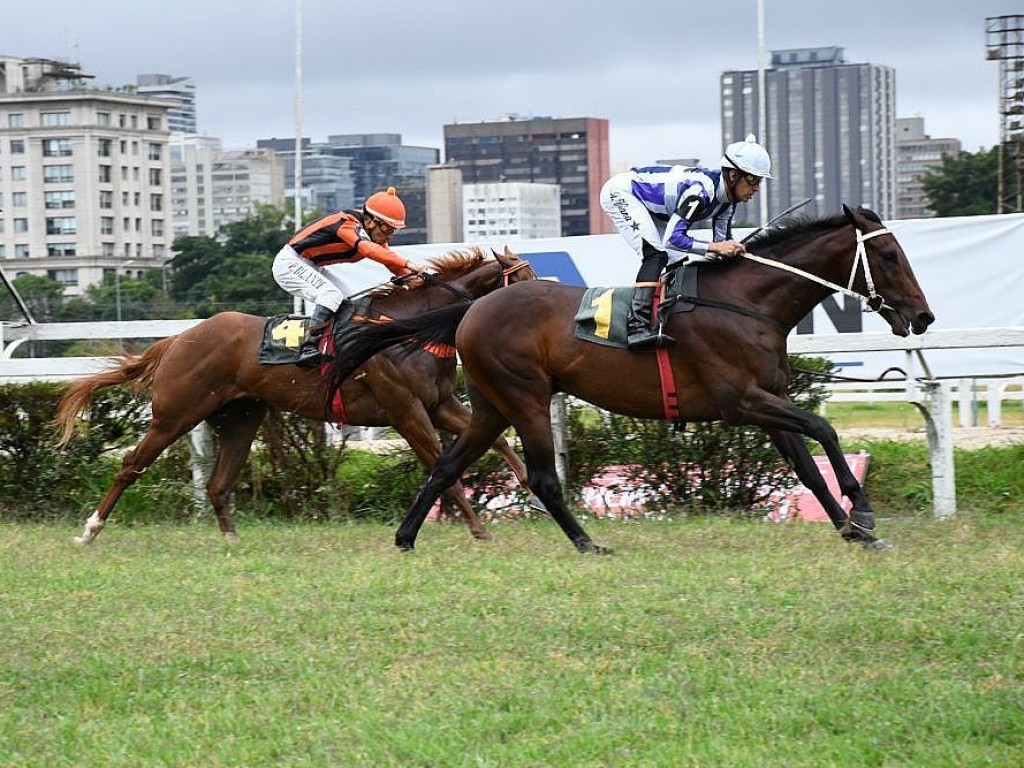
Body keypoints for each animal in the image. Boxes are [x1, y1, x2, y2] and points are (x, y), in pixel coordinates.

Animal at [55, 247, 536, 548]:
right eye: (524, 282)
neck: (407, 331)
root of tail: (177, 339)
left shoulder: (439, 404)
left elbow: (497, 440)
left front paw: (532, 490)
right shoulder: (406, 412)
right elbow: (444, 470)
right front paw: (480, 530)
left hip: (241, 416)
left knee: (217, 483)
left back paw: (232, 539)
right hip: (176, 413)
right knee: (131, 465)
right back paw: (90, 530)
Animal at [325, 204, 937, 552]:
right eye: (888, 254)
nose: (924, 317)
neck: (745, 302)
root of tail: (471, 308)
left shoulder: (766, 400)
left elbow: (807, 466)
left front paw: (853, 531)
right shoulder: (741, 400)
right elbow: (825, 430)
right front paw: (862, 510)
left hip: (491, 405)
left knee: (446, 465)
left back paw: (406, 539)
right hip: (526, 397)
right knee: (541, 477)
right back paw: (588, 543)